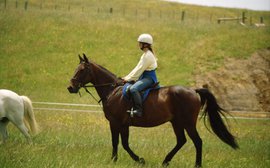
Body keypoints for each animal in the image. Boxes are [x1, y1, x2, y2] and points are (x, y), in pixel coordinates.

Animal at [67, 54, 238, 167]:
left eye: (82, 70)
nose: (70, 87)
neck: (112, 91)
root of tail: (193, 91)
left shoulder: (117, 123)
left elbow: (120, 143)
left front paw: (136, 160)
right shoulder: (121, 124)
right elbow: (120, 143)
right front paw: (117, 160)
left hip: (188, 123)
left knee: (197, 141)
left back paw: (196, 165)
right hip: (176, 122)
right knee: (181, 141)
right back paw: (166, 161)